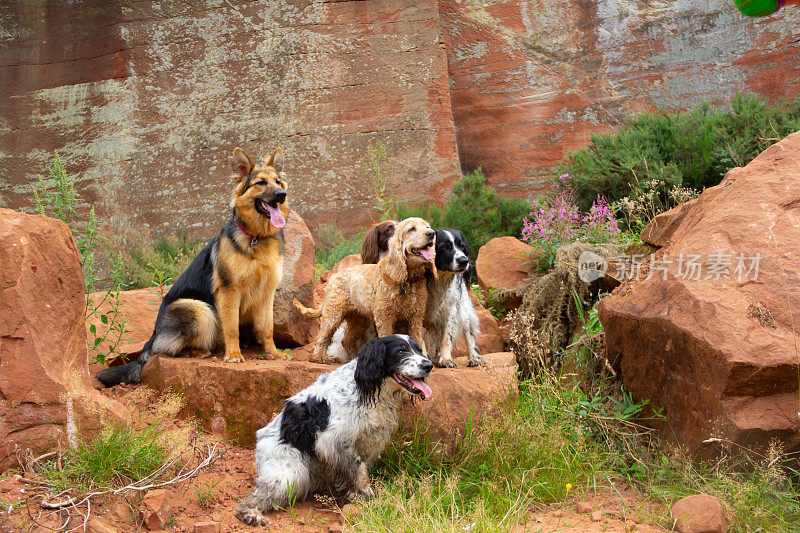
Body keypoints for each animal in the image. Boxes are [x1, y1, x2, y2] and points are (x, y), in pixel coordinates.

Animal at [96, 148, 290, 384]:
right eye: (261, 183)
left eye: (278, 182)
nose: (281, 195)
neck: (256, 238)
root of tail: (151, 339)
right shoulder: (229, 291)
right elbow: (232, 327)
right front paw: (234, 354)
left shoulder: (267, 292)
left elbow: (267, 327)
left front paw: (273, 353)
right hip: (200, 309)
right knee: (166, 350)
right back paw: (200, 351)